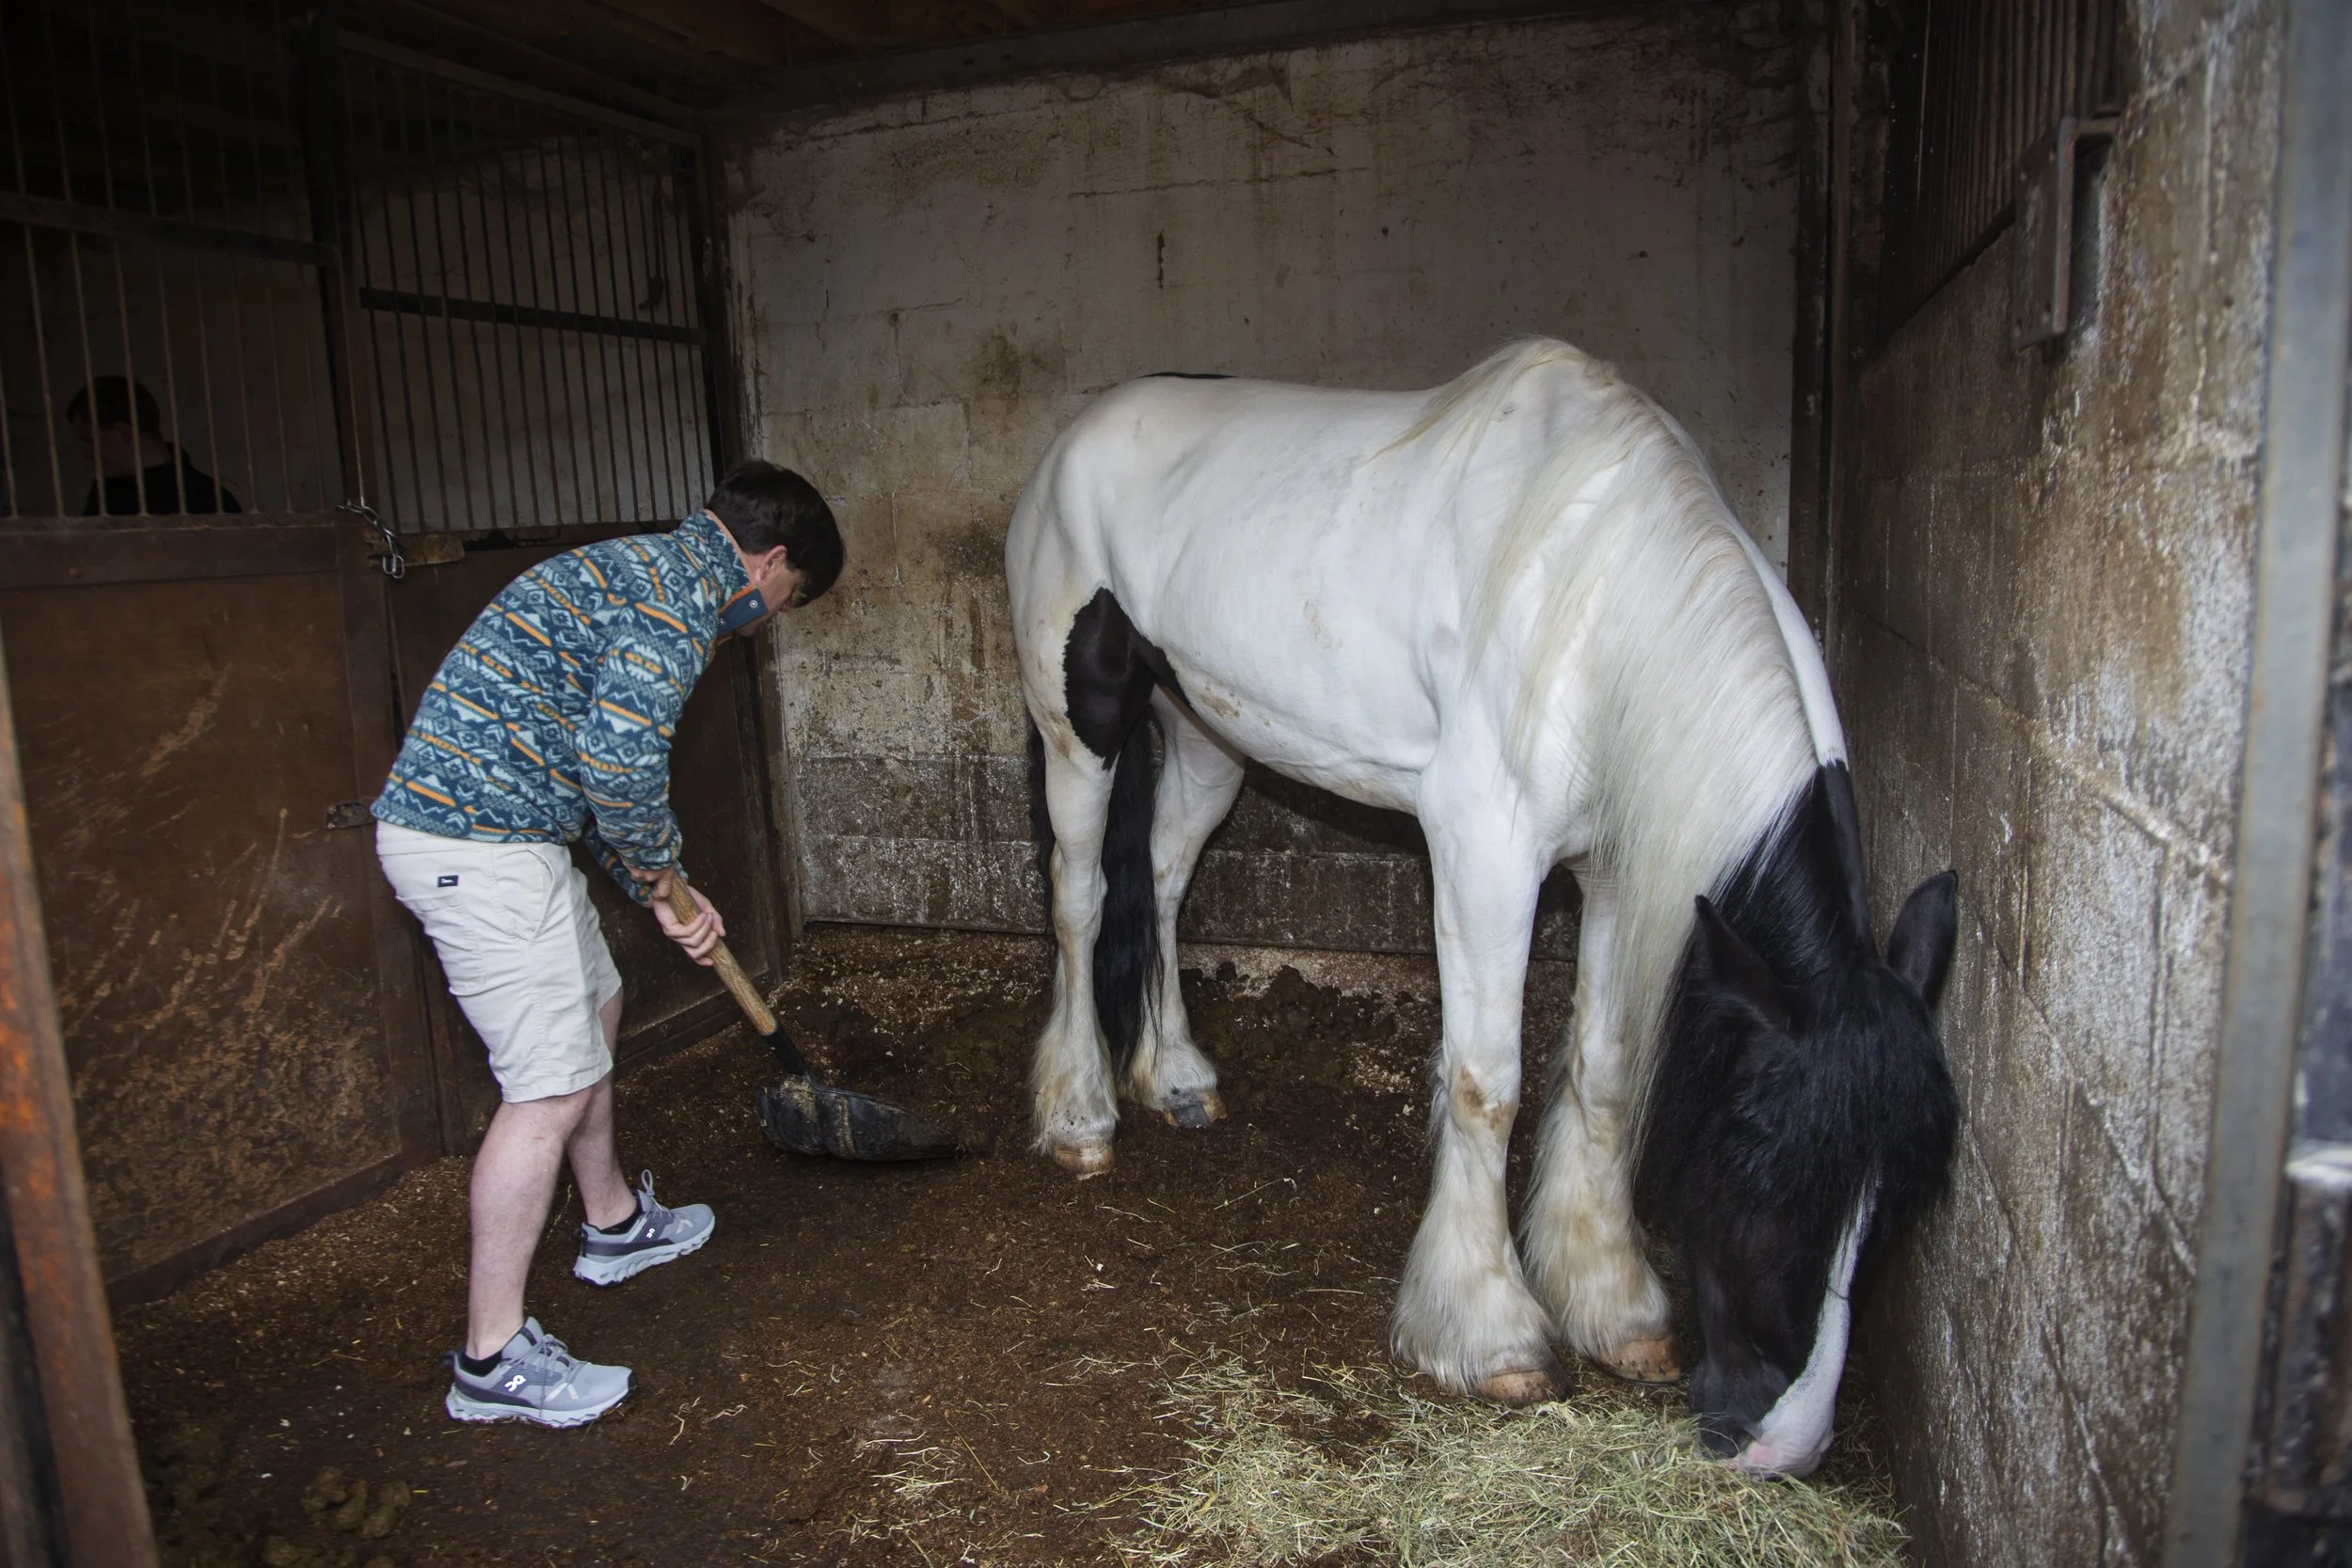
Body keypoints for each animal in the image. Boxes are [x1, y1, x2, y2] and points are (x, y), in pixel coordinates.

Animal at [1003, 338, 1958, 1477]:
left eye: (1889, 1209)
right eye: (1764, 1170)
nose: (1784, 1444)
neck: (1598, 600)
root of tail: (1074, 437)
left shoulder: (1606, 869)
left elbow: (1602, 1071)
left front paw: (1613, 1305)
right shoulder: (1482, 851)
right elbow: (1484, 1082)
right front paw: (1490, 1331)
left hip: (1206, 732)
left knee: (1160, 877)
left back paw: (1176, 1076)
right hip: (1082, 724)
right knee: (1082, 898)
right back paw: (1080, 1116)